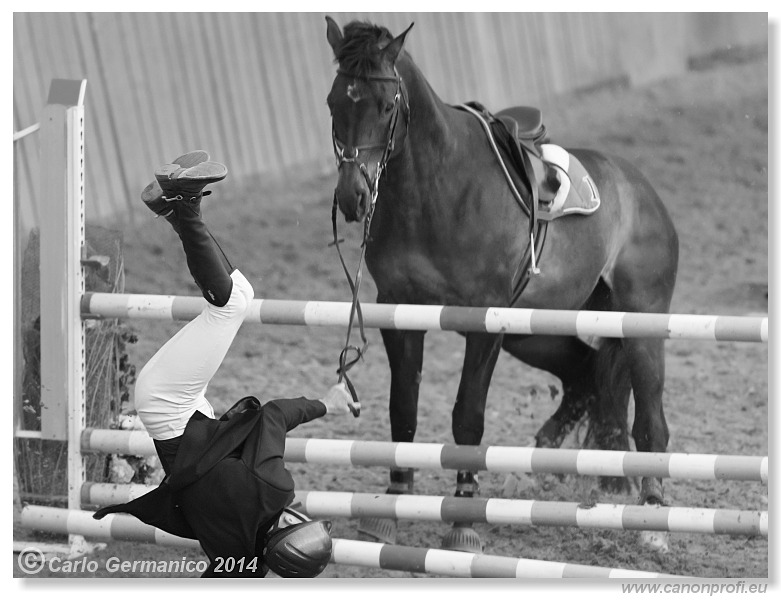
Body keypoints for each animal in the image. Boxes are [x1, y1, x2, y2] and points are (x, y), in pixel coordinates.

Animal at [322, 16, 676, 552]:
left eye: (386, 105)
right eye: (333, 103)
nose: (353, 197)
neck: (437, 188)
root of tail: (641, 189)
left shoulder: (483, 323)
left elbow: (468, 416)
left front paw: (464, 520)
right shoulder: (399, 313)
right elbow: (403, 409)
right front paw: (391, 507)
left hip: (640, 325)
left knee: (651, 417)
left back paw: (653, 521)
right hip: (538, 330)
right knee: (584, 376)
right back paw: (548, 470)